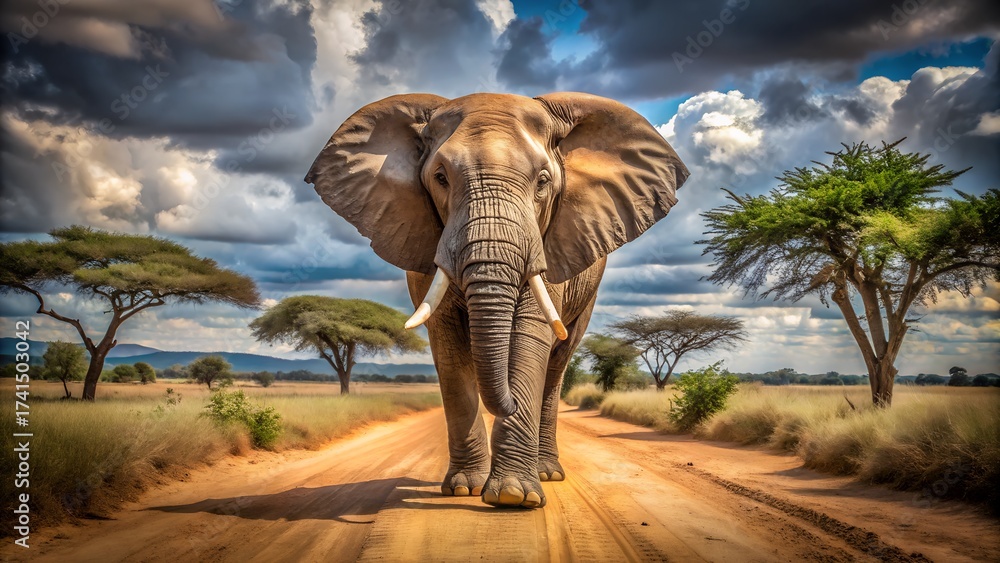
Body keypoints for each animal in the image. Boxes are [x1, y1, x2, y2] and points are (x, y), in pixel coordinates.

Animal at [305, 92, 688, 508]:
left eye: (543, 181)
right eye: (440, 178)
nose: (510, 404)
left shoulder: (547, 245)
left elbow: (530, 338)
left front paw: (512, 496)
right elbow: (448, 344)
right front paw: (464, 488)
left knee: (556, 366)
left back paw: (546, 473)